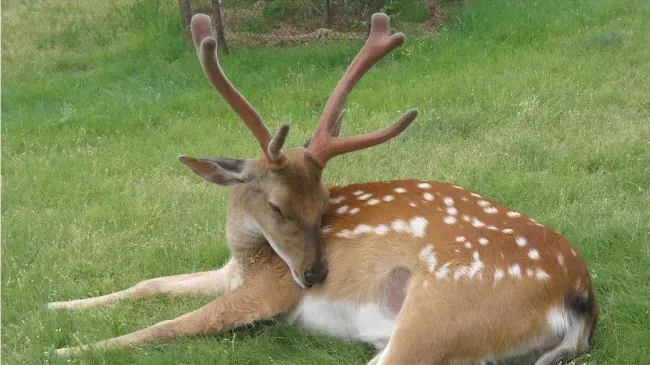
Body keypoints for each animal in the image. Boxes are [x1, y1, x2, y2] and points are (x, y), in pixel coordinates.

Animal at [49, 12, 596, 362]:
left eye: (326, 204)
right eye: (277, 206)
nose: (314, 276)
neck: (249, 255)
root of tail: (579, 300)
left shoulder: (270, 288)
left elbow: (169, 325)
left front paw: (65, 347)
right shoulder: (234, 272)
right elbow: (152, 284)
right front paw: (57, 305)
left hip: (442, 312)